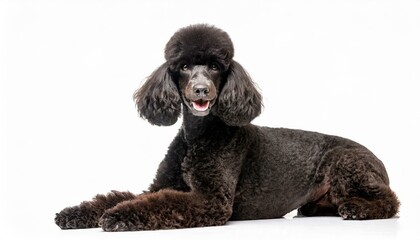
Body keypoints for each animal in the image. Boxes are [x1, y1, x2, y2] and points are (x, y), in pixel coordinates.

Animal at [55, 23, 400, 231]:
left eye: (214, 67)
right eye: (183, 66)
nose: (201, 90)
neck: (197, 137)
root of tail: (380, 160)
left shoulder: (212, 200)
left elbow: (157, 203)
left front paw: (116, 216)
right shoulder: (159, 185)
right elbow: (121, 195)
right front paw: (75, 213)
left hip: (345, 162)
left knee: (391, 200)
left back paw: (358, 208)